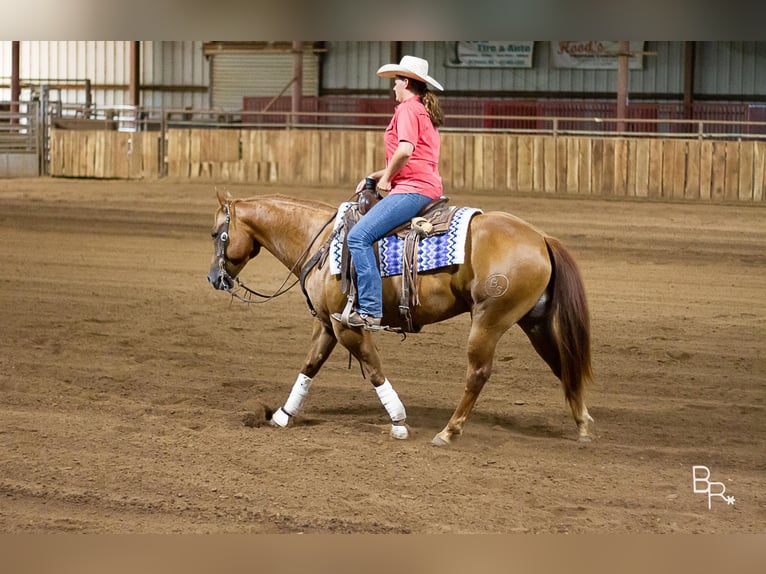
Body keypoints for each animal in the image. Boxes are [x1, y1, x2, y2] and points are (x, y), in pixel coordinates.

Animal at [206, 191, 592, 448]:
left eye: (214, 234)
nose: (213, 278)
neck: (321, 240)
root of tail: (541, 238)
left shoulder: (348, 325)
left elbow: (374, 368)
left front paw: (398, 421)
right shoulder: (327, 323)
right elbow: (310, 365)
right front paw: (282, 415)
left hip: (488, 320)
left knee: (478, 373)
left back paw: (448, 432)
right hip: (534, 321)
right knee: (563, 365)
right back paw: (583, 425)